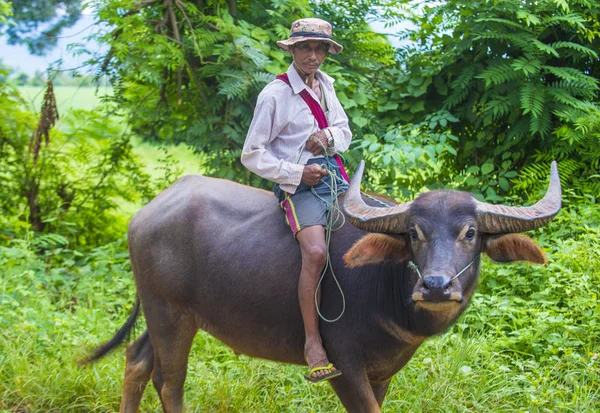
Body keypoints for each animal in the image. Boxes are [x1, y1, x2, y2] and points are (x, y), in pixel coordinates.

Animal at [85, 159, 564, 410]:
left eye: (470, 233)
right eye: (414, 233)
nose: (435, 286)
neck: (387, 292)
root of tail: (147, 212)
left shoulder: (381, 372)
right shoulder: (345, 369)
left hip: (163, 314)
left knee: (137, 361)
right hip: (168, 313)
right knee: (169, 382)